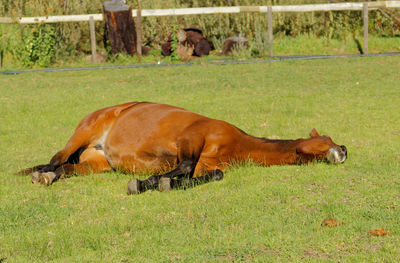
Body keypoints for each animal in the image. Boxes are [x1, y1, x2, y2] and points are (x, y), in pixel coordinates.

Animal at [19, 102, 346, 195]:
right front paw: (150, 182)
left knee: (67, 167)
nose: (343, 149)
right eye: (326, 141)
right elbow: (184, 167)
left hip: (97, 162)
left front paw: (157, 182)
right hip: (83, 133)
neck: (235, 143)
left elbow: (207, 176)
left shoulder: (208, 166)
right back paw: (42, 176)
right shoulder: (190, 140)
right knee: (56, 159)